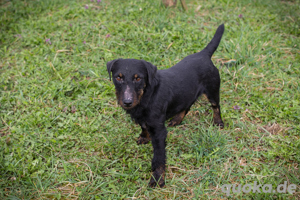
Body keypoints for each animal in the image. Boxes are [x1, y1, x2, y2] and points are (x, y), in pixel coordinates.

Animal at [106, 23, 224, 188]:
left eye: (138, 78)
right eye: (118, 77)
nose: (127, 102)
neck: (146, 95)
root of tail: (204, 54)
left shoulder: (159, 132)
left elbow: (159, 157)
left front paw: (157, 179)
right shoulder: (144, 119)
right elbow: (143, 127)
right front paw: (144, 137)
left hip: (213, 88)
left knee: (216, 106)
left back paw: (218, 122)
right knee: (187, 105)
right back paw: (177, 119)